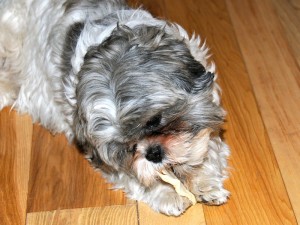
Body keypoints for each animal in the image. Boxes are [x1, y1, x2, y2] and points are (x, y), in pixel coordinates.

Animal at [0, 0, 230, 215]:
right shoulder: (104, 157)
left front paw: (205, 183)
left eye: (154, 120)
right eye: (125, 146)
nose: (153, 153)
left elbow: (205, 147)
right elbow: (137, 178)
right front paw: (168, 194)